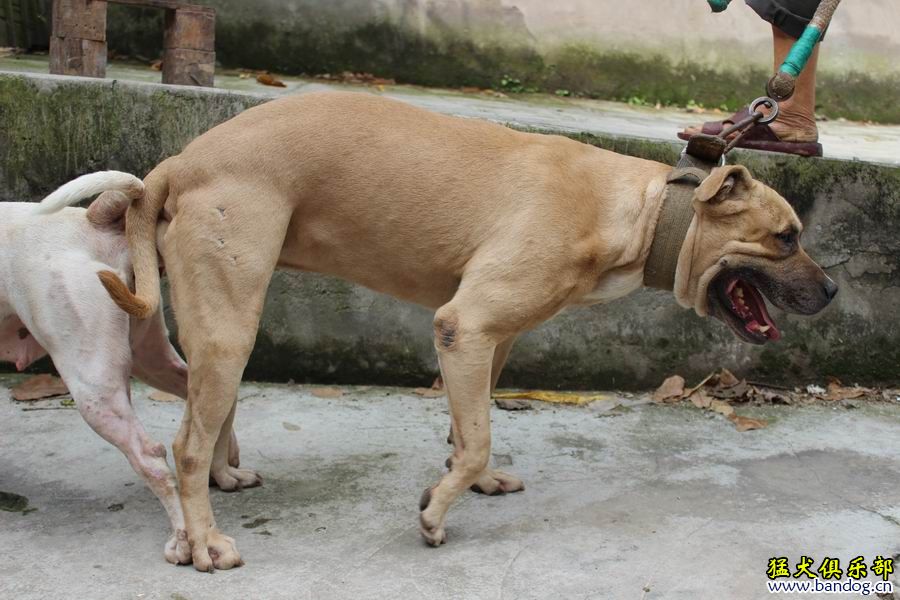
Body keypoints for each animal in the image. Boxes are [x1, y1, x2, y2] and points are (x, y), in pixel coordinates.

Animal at [1, 172, 253, 564]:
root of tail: (92, 222)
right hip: (148, 355)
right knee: (209, 399)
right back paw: (223, 471)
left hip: (93, 383)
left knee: (151, 455)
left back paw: (190, 540)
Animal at [100, 91, 836, 568]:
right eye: (786, 236)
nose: (832, 291)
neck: (645, 210)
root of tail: (182, 162)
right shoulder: (465, 325)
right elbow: (478, 438)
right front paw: (436, 512)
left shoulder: (491, 339)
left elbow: (470, 424)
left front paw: (462, 483)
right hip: (231, 325)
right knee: (185, 444)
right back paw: (204, 541)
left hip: (226, 326)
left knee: (207, 415)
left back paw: (222, 482)